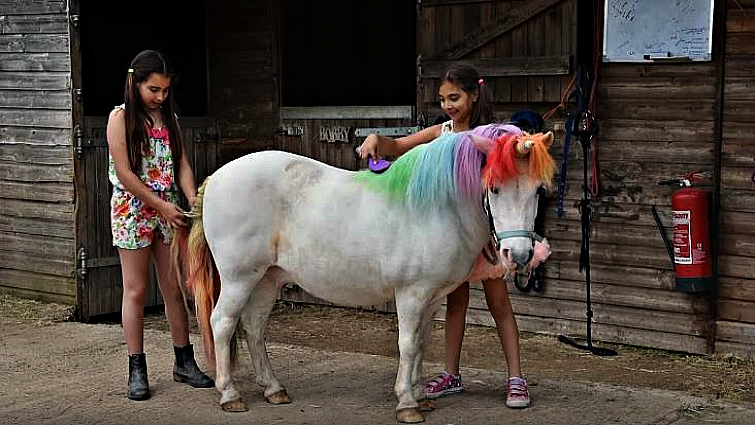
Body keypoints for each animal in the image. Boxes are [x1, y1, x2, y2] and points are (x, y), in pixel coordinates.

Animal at [176, 123, 555, 423]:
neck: (436, 206)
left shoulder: (432, 298)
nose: (519, 255)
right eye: (494, 187)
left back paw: (273, 389)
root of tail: (216, 178)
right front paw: (407, 403)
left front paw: (421, 396)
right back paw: (230, 394)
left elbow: (421, 343)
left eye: (538, 189)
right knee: (222, 324)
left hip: (268, 278)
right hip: (240, 278)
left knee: (254, 327)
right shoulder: (412, 294)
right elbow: (406, 344)